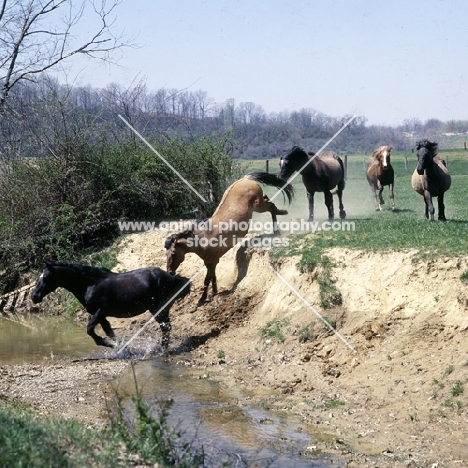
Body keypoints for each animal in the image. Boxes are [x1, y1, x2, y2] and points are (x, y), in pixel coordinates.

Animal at [31, 262, 190, 350]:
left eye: (46, 277)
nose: (34, 296)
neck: (90, 284)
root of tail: (173, 278)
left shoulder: (100, 312)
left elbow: (90, 330)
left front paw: (112, 345)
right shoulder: (101, 316)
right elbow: (109, 332)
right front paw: (120, 345)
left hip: (159, 308)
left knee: (166, 327)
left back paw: (162, 350)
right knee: (166, 327)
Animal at [166, 172, 294, 308]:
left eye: (173, 254)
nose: (170, 272)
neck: (203, 238)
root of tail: (246, 178)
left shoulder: (212, 261)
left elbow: (207, 280)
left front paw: (202, 299)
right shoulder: (210, 262)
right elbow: (213, 277)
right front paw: (214, 292)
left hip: (258, 206)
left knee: (271, 207)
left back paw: (278, 226)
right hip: (259, 204)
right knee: (268, 201)